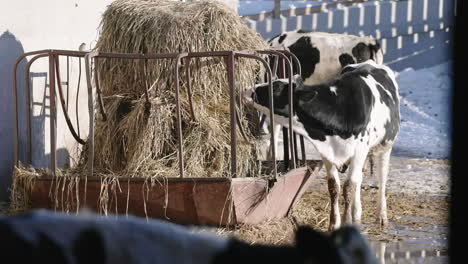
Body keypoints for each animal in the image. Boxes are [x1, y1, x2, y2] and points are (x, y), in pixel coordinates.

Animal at [243, 60, 400, 231]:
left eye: (276, 87)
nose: (247, 89)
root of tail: (370, 63)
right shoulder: (328, 152)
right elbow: (334, 187)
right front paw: (333, 224)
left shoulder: (359, 150)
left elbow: (348, 187)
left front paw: (346, 222)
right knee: (359, 179)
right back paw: (357, 213)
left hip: (385, 147)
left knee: (382, 178)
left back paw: (382, 216)